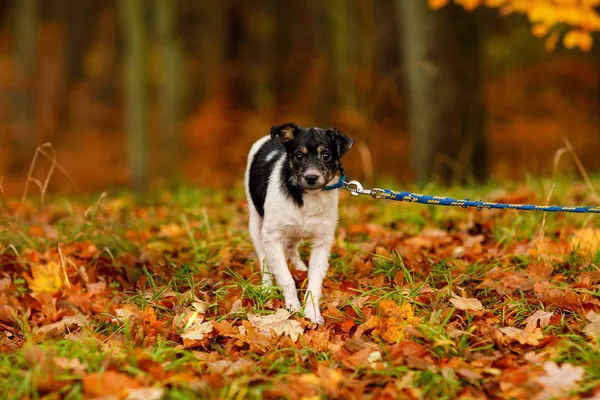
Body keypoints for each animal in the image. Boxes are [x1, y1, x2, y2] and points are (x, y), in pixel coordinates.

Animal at [245, 123, 354, 324]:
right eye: (298, 156)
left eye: (326, 155)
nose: (311, 177)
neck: (308, 197)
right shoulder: (272, 237)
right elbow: (285, 277)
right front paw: (293, 308)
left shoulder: (322, 241)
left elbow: (315, 282)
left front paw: (312, 313)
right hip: (256, 224)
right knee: (264, 259)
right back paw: (267, 286)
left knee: (291, 248)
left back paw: (300, 267)